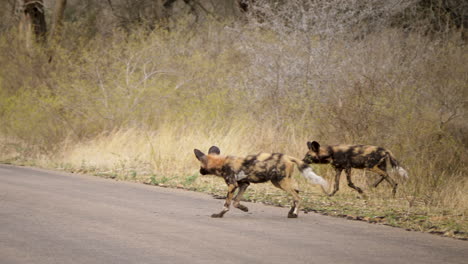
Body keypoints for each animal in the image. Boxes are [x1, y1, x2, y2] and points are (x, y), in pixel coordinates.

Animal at [192, 145, 328, 218]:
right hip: (278, 182)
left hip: (282, 182)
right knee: (296, 191)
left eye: (201, 166)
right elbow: (236, 202)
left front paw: (219, 214)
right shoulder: (244, 184)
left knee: (297, 197)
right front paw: (244, 208)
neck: (221, 163)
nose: (200, 171)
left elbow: (227, 204)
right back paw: (291, 212)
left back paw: (294, 214)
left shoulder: (232, 185)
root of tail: (288, 157)